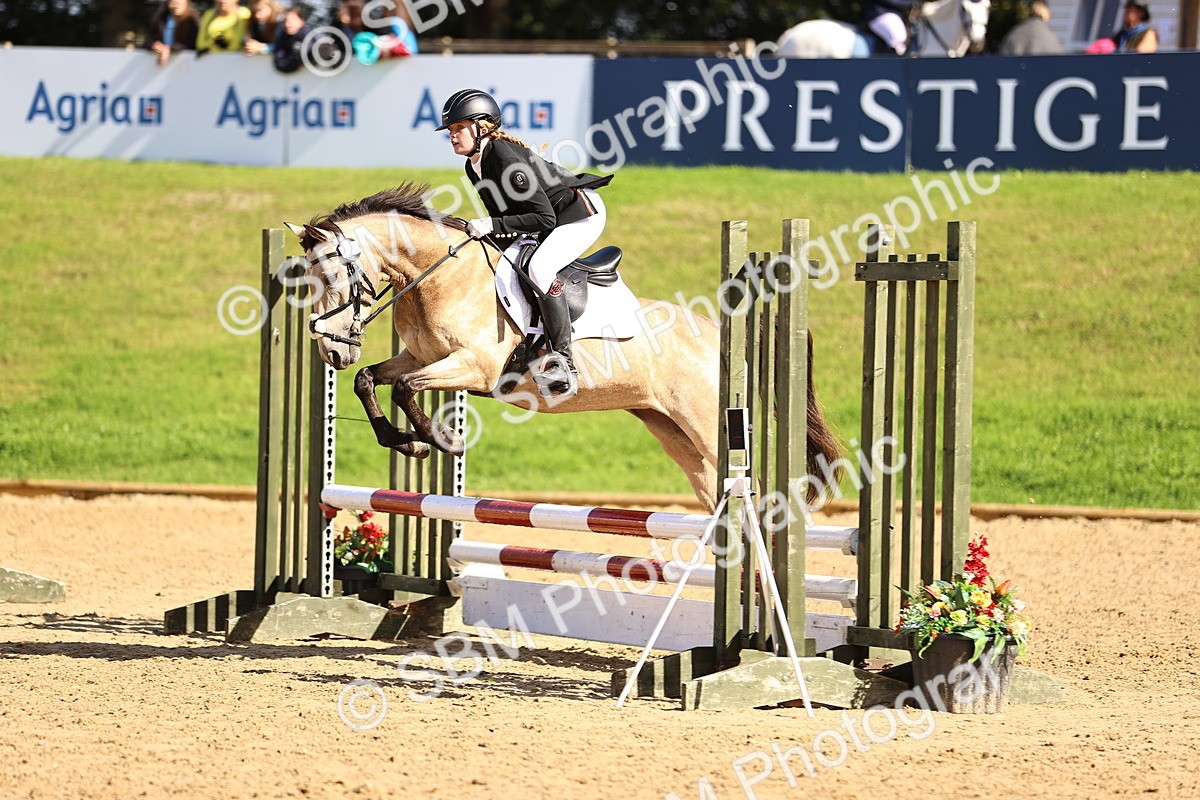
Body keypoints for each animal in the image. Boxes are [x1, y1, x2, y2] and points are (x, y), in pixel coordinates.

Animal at [284, 183, 842, 512]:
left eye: (333, 275)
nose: (332, 352)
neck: (437, 275)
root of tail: (720, 332)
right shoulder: (421, 357)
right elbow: (371, 380)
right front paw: (406, 442)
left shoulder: (474, 367)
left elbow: (403, 387)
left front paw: (444, 441)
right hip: (673, 432)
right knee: (714, 494)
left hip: (708, 424)